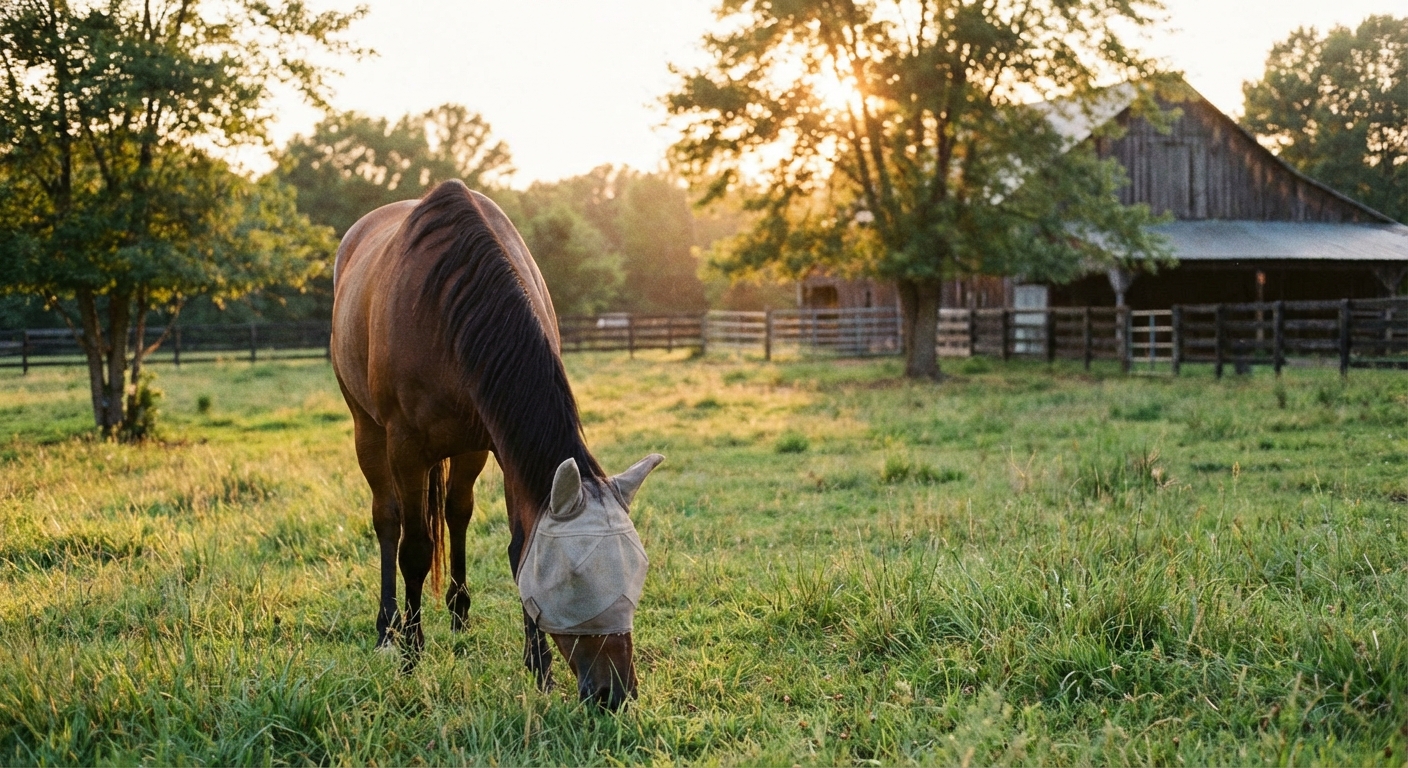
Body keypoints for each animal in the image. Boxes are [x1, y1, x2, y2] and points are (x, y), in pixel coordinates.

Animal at [330, 179, 663, 709]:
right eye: (571, 578)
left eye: (638, 571)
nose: (615, 693)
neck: (446, 303)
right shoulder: (405, 447)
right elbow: (415, 550)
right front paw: (412, 657)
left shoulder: (504, 451)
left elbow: (518, 545)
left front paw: (539, 669)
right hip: (368, 431)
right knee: (388, 520)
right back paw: (388, 630)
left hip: (468, 449)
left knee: (456, 512)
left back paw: (459, 616)